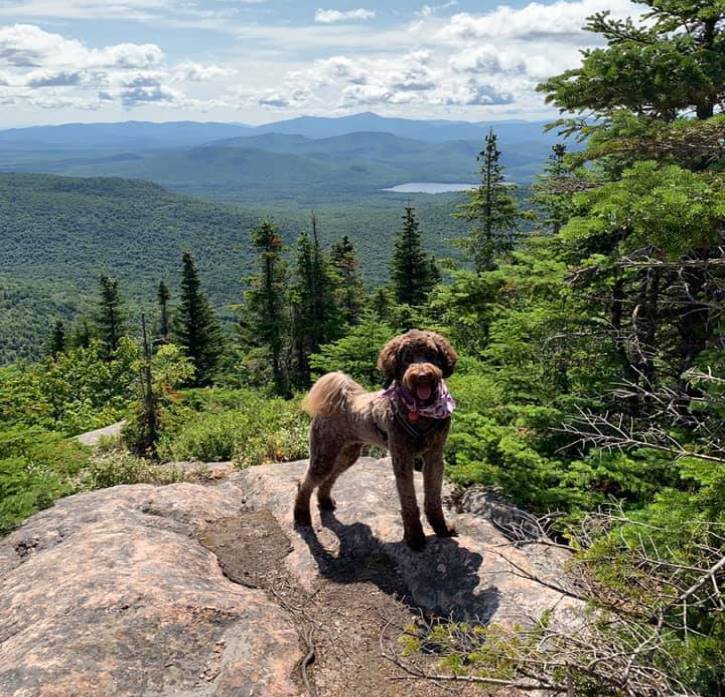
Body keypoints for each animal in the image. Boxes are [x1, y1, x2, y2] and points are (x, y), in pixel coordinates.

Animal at [292, 328, 456, 552]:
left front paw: (441, 528)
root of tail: (337, 399)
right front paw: (415, 538)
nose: (422, 375)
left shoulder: (435, 456)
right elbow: (408, 502)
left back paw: (325, 502)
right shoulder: (402, 458)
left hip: (348, 453)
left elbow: (433, 499)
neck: (421, 411)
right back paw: (301, 515)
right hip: (324, 452)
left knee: (330, 478)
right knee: (305, 482)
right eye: (407, 358)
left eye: (431, 355)